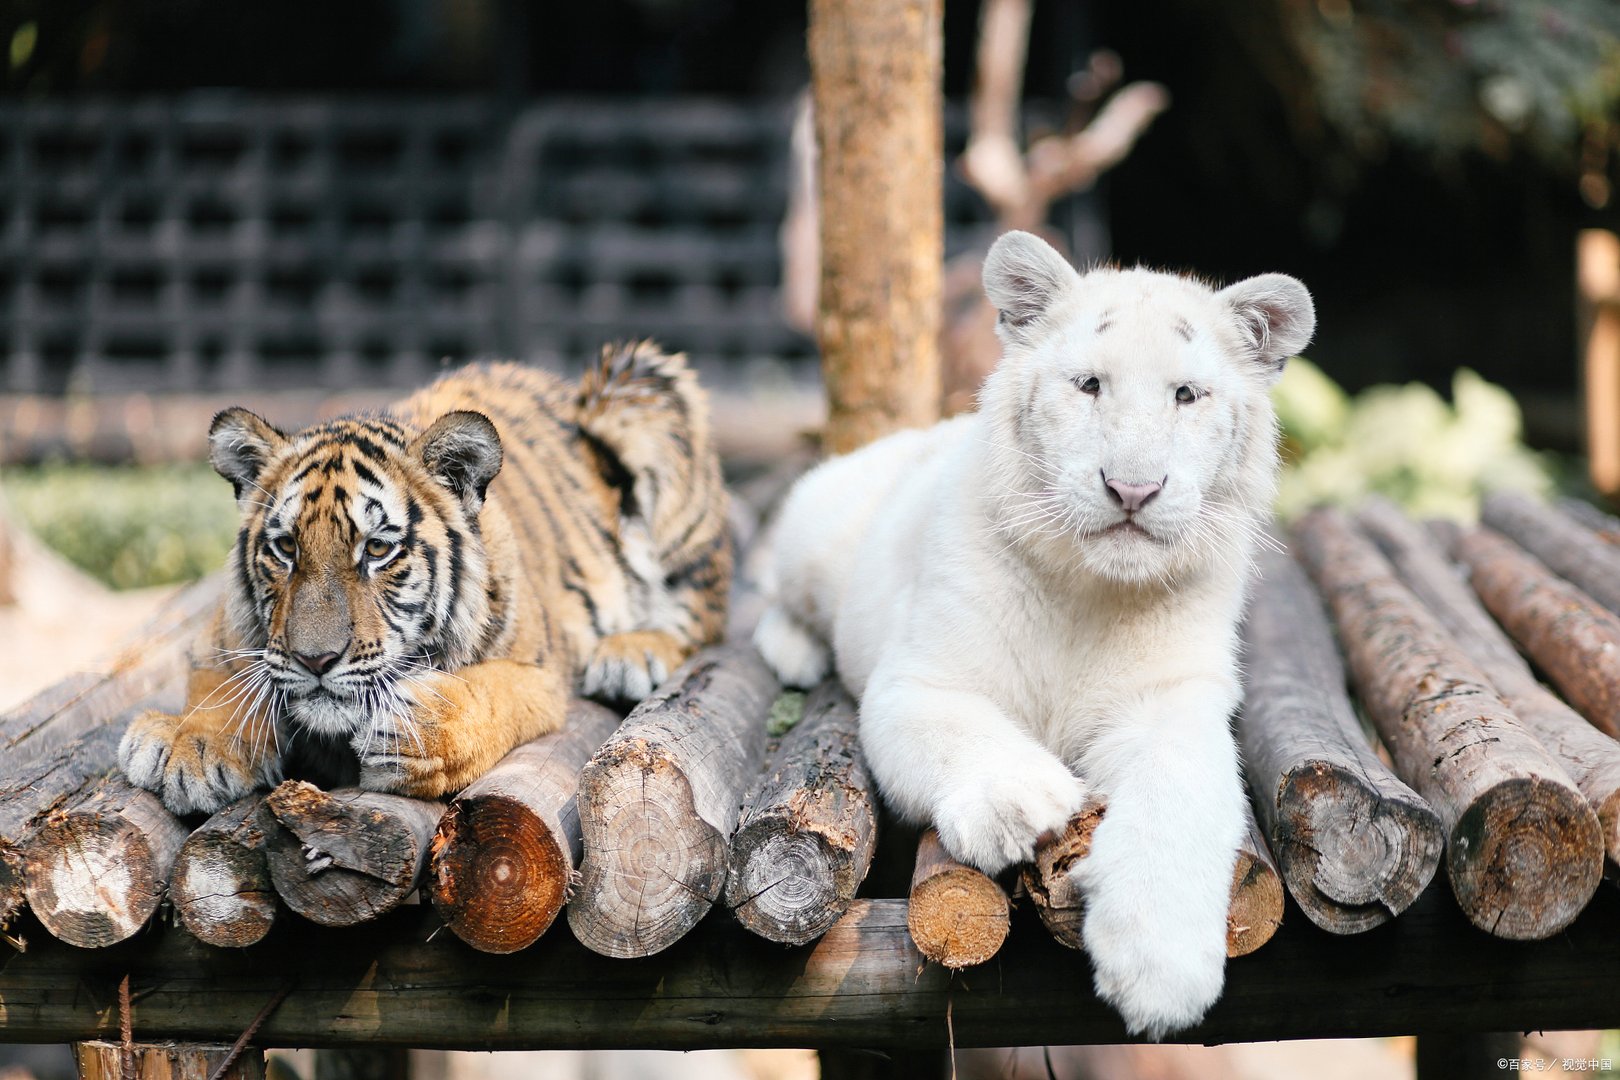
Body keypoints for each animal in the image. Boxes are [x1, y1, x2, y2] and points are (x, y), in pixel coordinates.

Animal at [119, 342, 731, 816]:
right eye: (286, 548)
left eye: (377, 549)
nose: (316, 661)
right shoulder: (221, 633)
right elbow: (219, 680)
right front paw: (194, 745)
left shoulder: (540, 674)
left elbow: (494, 693)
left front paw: (426, 728)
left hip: (641, 390)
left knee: (704, 621)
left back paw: (632, 654)